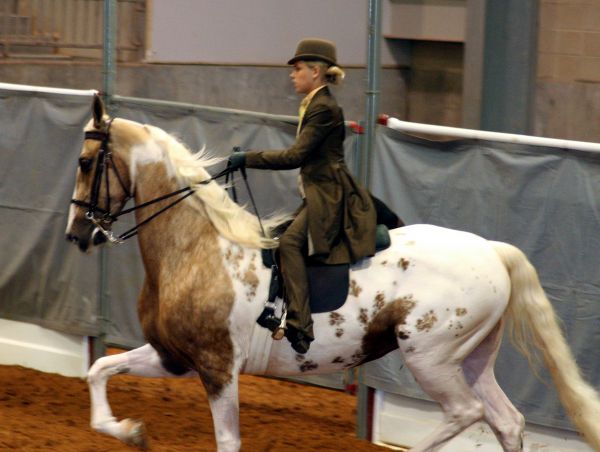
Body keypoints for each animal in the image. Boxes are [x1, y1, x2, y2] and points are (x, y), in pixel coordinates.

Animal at [65, 94, 600, 451]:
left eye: (86, 161)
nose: (77, 235)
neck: (198, 248)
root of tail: (492, 249)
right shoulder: (172, 356)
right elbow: (98, 370)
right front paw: (131, 431)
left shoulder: (218, 369)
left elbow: (228, 442)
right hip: (471, 358)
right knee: (506, 420)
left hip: (430, 357)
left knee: (466, 412)